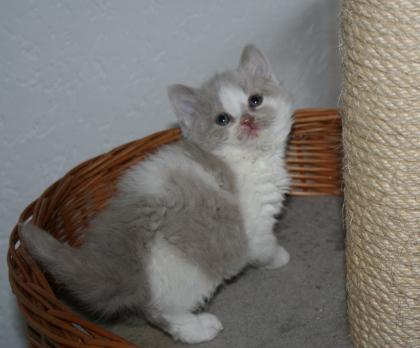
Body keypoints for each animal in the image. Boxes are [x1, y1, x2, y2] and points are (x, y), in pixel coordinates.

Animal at [20, 44, 292, 344]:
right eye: (222, 119)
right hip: (185, 274)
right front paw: (278, 257)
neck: (249, 158)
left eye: (255, 100)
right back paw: (200, 328)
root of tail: (116, 262)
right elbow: (264, 248)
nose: (246, 120)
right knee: (163, 314)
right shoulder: (255, 225)